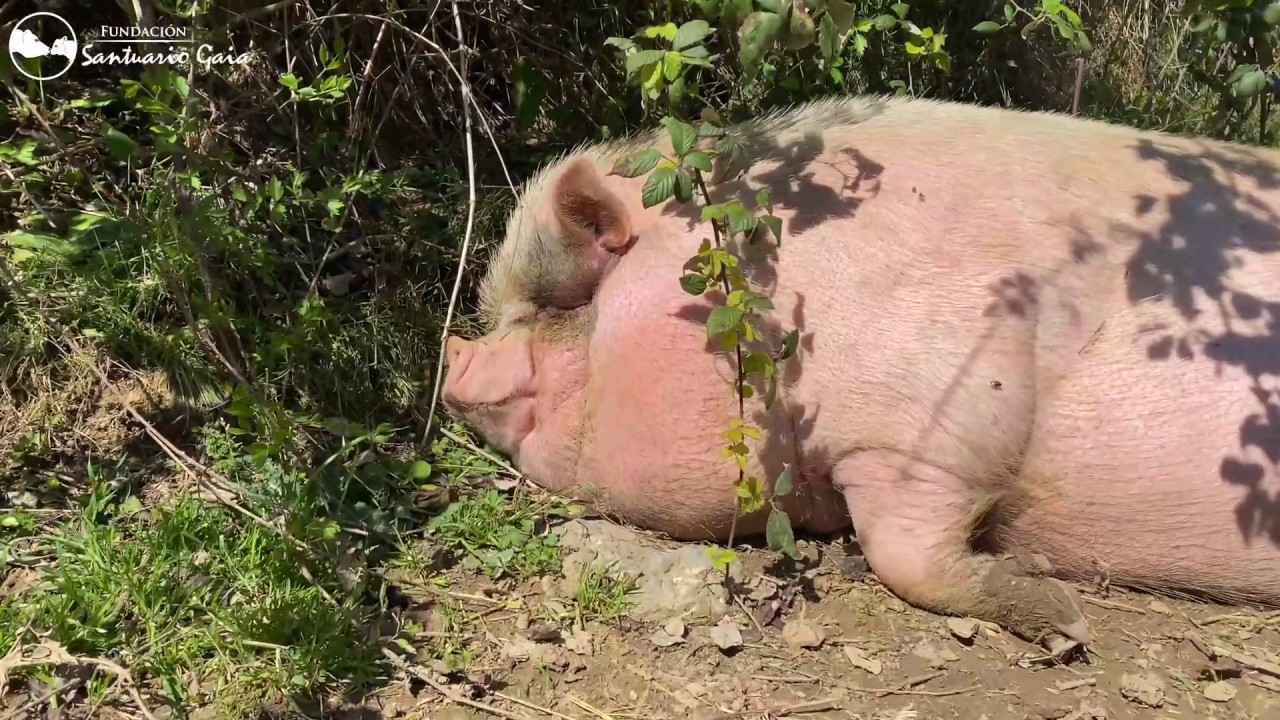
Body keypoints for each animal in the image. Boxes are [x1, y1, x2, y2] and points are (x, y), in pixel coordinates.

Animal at [442, 93, 1280, 650]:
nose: (451, 354)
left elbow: (906, 551)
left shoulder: (945, 403)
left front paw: (1065, 620)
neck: (780, 306)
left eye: (562, 299)